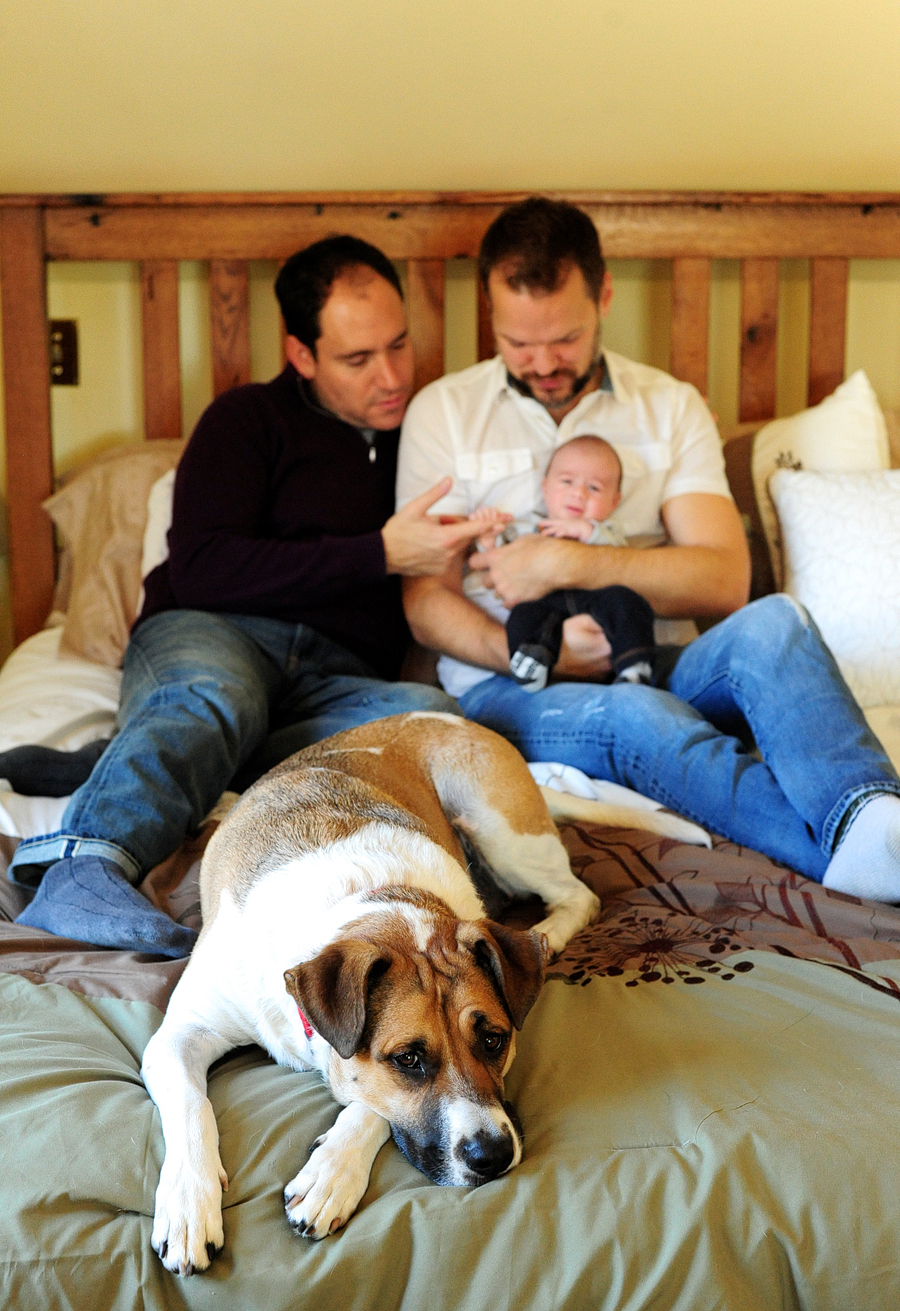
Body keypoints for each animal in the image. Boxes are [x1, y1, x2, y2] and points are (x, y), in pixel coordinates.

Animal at [143, 713, 598, 1274]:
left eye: (494, 1041)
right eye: (408, 1059)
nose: (492, 1157)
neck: (377, 902)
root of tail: (459, 720)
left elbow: (370, 1104)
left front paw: (331, 1172)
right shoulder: (178, 1036)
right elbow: (192, 1106)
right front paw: (189, 1204)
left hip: (502, 831)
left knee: (581, 895)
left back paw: (550, 933)